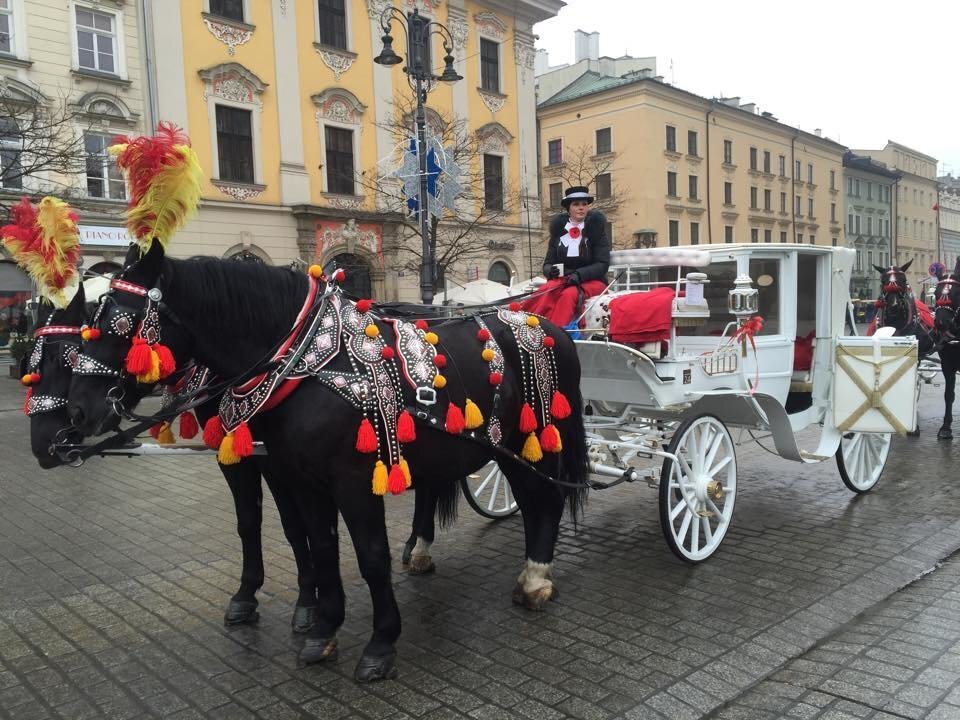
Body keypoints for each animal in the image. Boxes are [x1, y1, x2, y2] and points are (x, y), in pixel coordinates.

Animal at [23, 278, 318, 628]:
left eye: (65, 356)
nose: (40, 444)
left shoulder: (275, 459)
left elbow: (294, 524)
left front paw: (307, 600)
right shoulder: (232, 455)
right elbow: (247, 520)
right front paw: (246, 594)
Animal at [67, 240, 588, 680]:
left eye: (117, 320)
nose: (77, 411)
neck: (305, 364)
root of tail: (551, 328)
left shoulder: (353, 481)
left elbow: (371, 557)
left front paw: (381, 643)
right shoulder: (303, 480)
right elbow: (319, 546)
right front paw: (322, 630)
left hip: (533, 442)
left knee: (545, 501)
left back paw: (535, 578)